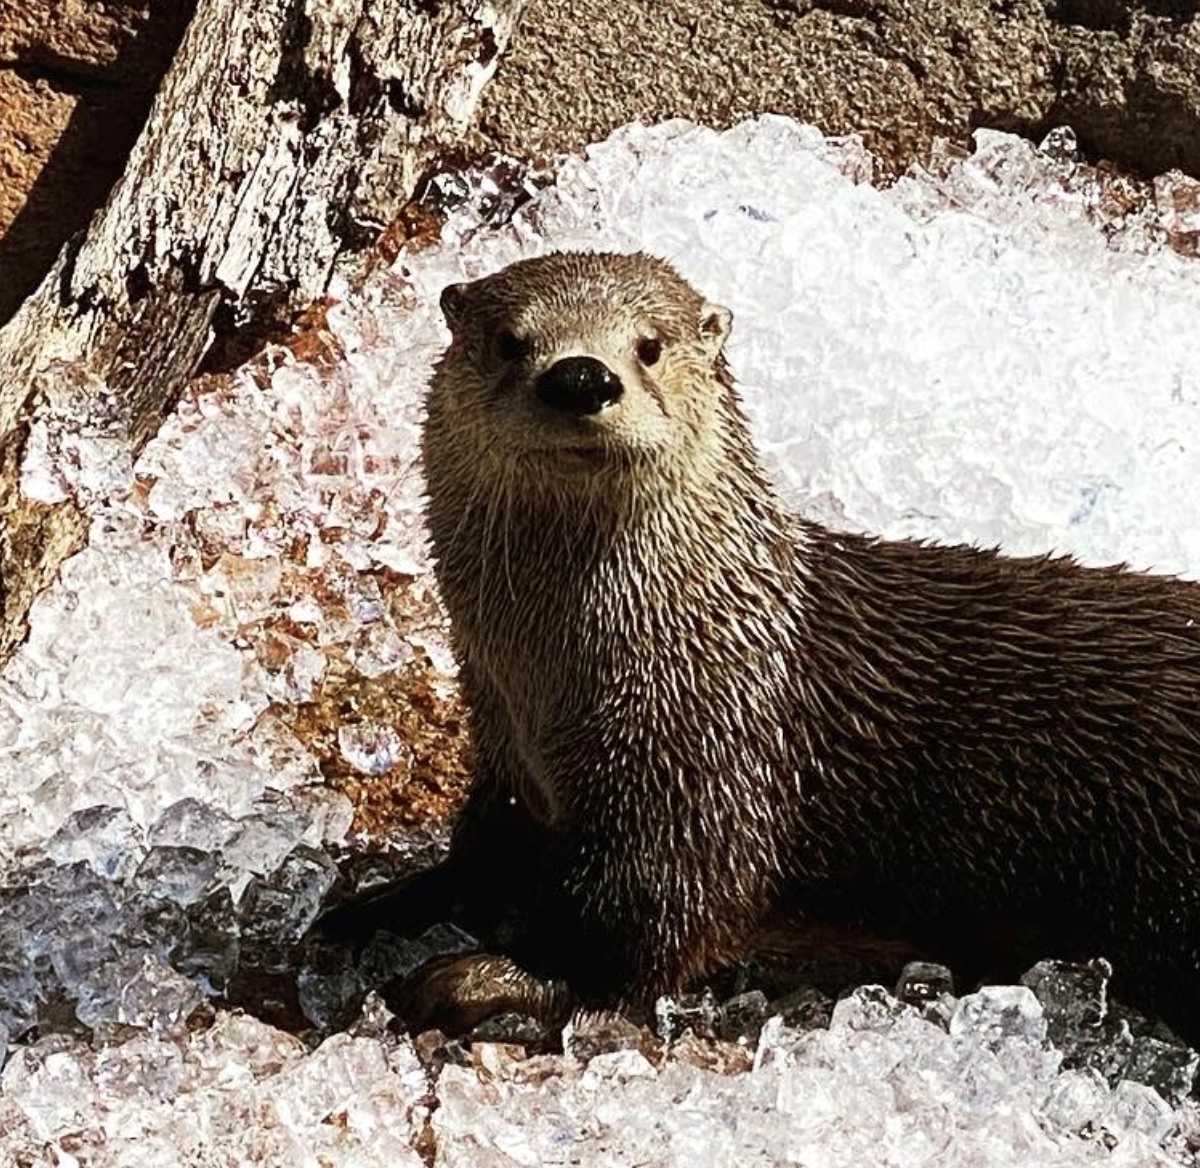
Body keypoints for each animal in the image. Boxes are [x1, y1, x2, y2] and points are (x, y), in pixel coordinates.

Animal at [319, 250, 1200, 1040]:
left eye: (649, 345)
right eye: (509, 341)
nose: (580, 377)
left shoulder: (704, 773)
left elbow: (646, 926)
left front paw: (495, 978)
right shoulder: (507, 752)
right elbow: (483, 851)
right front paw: (385, 904)